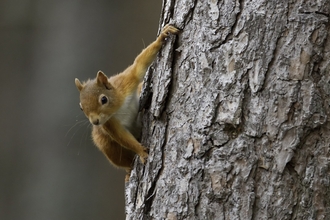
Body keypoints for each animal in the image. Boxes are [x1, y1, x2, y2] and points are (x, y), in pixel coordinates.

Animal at [74, 24, 179, 180]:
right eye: (81, 108)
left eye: (103, 99)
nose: (95, 122)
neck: (118, 107)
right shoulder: (109, 124)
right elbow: (123, 137)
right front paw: (141, 152)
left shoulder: (127, 81)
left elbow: (139, 64)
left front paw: (162, 36)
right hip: (106, 144)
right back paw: (129, 171)